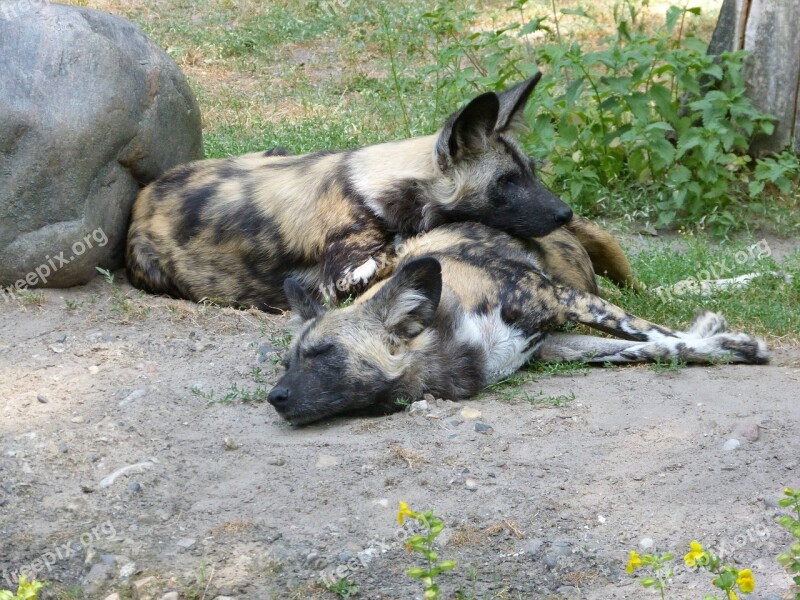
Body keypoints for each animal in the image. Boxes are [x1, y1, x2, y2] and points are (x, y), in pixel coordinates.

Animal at [126, 72, 576, 312]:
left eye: (530, 173)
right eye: (505, 183)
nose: (565, 214)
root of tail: (145, 196)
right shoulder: (344, 278)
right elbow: (400, 253)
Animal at [268, 223, 768, 424]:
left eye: (324, 354)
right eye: (289, 362)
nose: (274, 397)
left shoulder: (562, 300)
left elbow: (660, 334)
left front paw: (727, 340)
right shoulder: (554, 347)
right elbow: (657, 348)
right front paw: (726, 346)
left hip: (605, 265)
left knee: (652, 296)